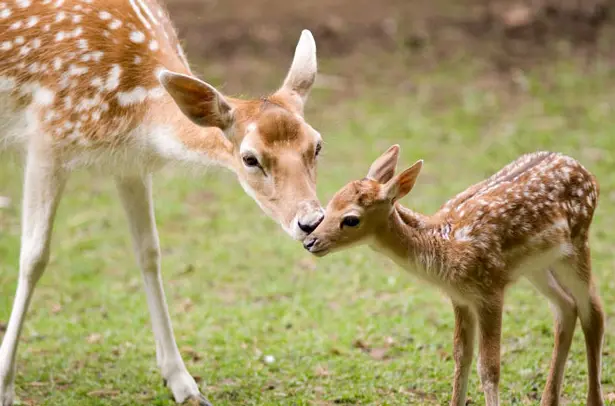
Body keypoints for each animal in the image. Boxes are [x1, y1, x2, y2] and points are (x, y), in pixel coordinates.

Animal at [0, 0, 324, 402]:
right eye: (250, 158)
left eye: (317, 145)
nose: (311, 220)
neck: (132, 109)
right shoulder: (47, 136)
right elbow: (34, 256)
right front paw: (4, 385)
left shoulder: (130, 161)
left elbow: (149, 253)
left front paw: (183, 382)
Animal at [306, 146, 604, 406]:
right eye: (329, 205)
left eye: (351, 219)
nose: (310, 241)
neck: (445, 247)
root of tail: (590, 175)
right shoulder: (459, 297)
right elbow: (462, 356)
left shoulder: (490, 289)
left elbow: (490, 367)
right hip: (538, 265)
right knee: (566, 307)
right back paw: (548, 400)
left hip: (577, 243)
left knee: (594, 312)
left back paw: (594, 400)